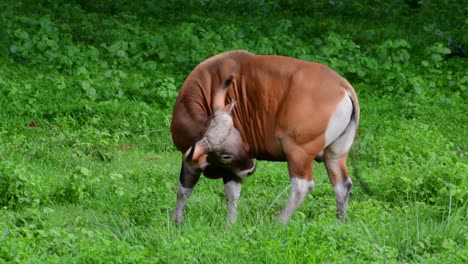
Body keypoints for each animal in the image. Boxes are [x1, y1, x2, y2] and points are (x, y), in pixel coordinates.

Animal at [170, 50, 360, 224]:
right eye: (227, 154)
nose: (251, 169)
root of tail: (343, 86)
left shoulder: (219, 164)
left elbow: (223, 192)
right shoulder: (199, 159)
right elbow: (187, 189)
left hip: (298, 150)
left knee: (302, 185)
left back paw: (279, 221)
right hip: (336, 152)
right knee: (343, 184)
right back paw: (339, 221)